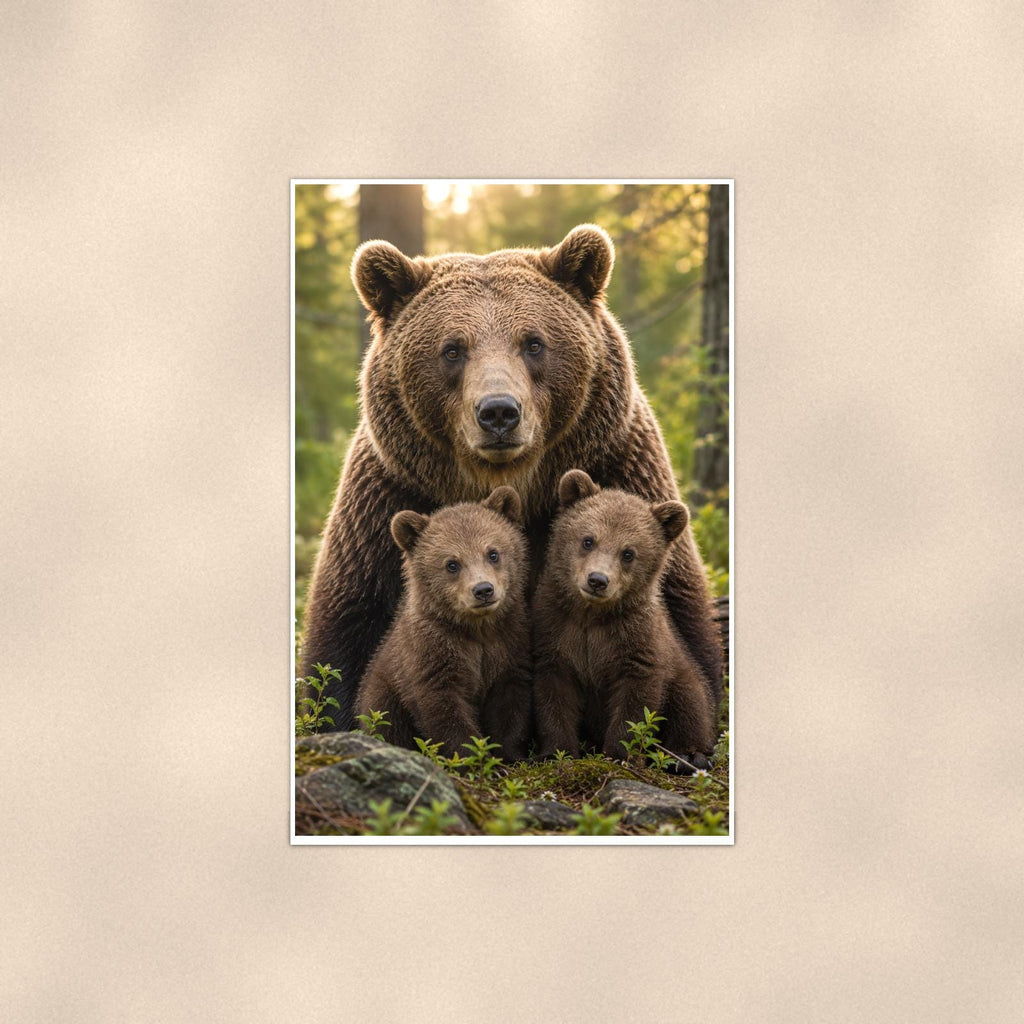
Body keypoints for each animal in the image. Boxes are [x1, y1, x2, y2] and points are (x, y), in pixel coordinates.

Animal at [300, 223, 723, 731]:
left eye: (534, 342)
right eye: (452, 349)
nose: (499, 412)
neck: (512, 482)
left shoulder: (622, 467)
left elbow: (680, 619)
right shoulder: (388, 499)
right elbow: (345, 634)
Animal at [354, 486, 532, 760]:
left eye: (493, 553)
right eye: (452, 563)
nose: (483, 590)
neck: (477, 629)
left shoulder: (509, 644)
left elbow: (510, 704)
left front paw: (510, 754)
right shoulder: (432, 651)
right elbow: (443, 707)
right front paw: (471, 755)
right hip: (382, 693)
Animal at [532, 470, 715, 768]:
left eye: (628, 553)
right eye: (588, 540)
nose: (597, 580)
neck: (592, 616)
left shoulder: (637, 642)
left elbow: (636, 703)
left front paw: (620, 755)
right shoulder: (555, 632)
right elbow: (553, 696)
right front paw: (556, 752)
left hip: (681, 670)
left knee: (690, 702)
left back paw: (689, 755)